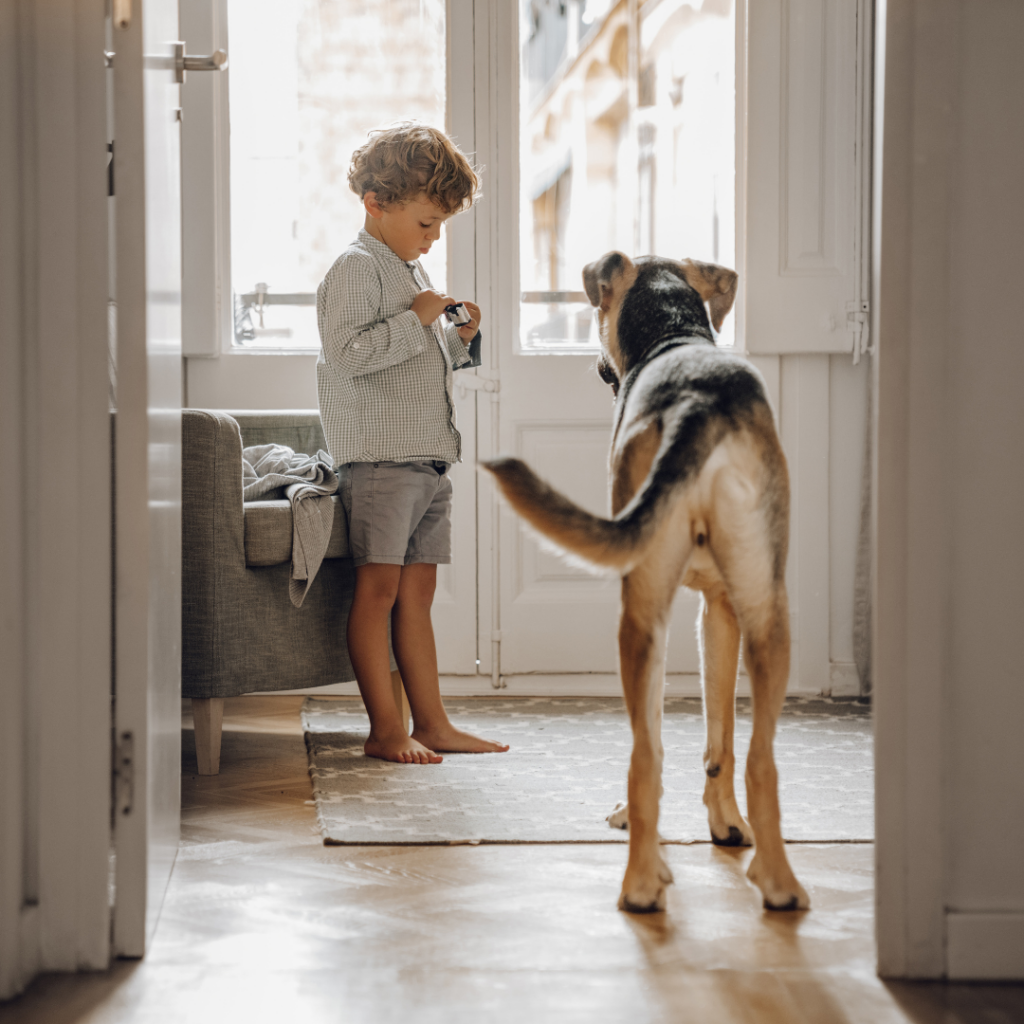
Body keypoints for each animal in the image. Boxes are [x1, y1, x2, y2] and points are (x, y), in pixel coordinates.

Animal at [479, 253, 806, 913]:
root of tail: (697, 403)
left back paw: (640, 881)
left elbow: (651, 732)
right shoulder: (719, 612)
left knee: (644, 756)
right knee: (759, 758)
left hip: (639, 614)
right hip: (769, 616)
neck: (674, 335)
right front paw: (726, 825)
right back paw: (778, 881)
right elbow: (718, 739)